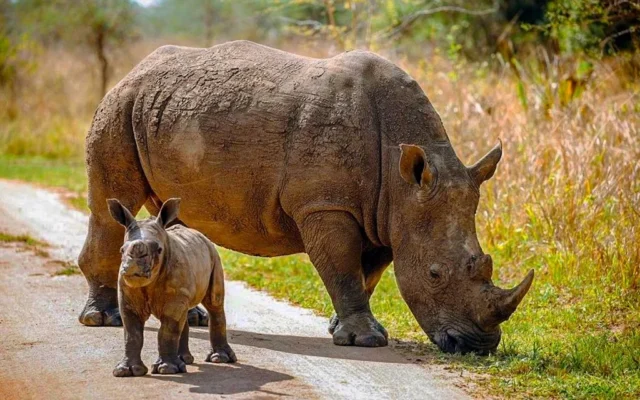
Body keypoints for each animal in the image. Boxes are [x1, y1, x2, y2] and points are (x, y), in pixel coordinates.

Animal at [78, 40, 534, 354]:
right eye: (435, 274)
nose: (477, 347)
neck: (403, 177)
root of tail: (134, 70)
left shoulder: (387, 213)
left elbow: (367, 274)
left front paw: (341, 329)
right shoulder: (327, 205)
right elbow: (343, 267)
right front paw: (366, 341)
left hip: (160, 113)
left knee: (168, 212)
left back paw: (190, 316)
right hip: (119, 107)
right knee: (111, 205)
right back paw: (102, 319)